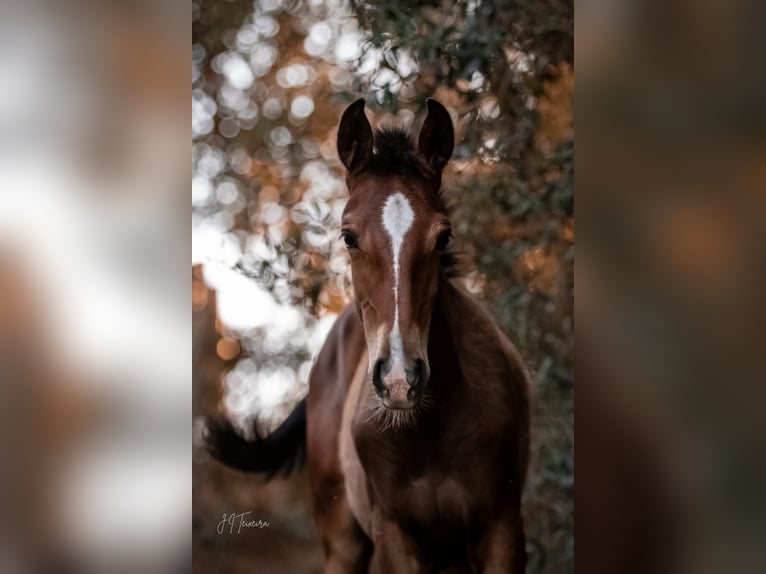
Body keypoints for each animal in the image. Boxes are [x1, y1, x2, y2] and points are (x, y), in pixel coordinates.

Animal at [210, 100, 536, 574]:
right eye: (349, 236)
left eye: (443, 236)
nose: (400, 379)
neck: (429, 433)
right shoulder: (394, 538)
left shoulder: (503, 530)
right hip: (343, 543)